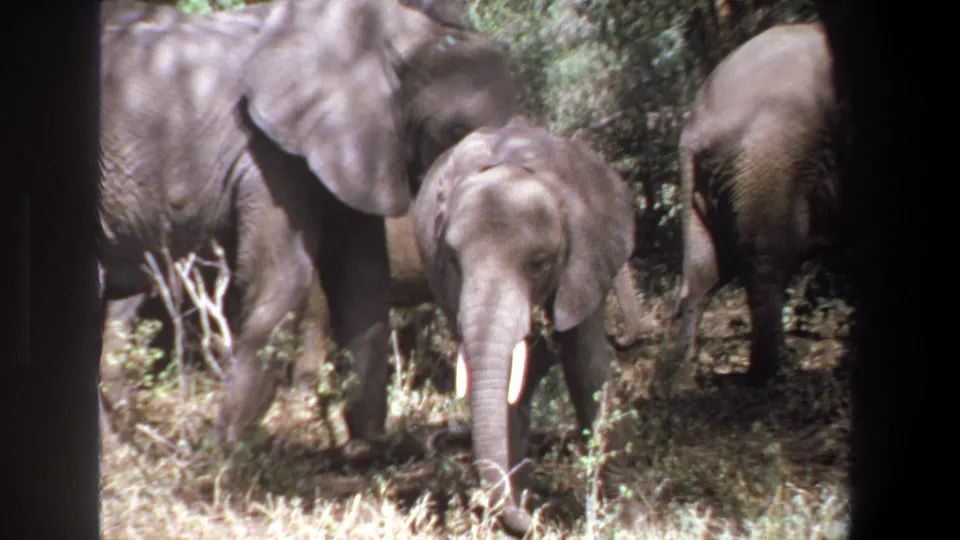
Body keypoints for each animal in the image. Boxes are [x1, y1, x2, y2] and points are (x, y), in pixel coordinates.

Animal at [98, 0, 524, 446]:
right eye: (456, 131)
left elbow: (361, 277)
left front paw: (366, 448)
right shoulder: (265, 152)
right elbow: (285, 277)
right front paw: (222, 451)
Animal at [412, 116, 641, 536]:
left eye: (539, 263)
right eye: (453, 260)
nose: (533, 521)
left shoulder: (586, 257)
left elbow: (586, 364)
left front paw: (629, 520)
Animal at [672, 22, 841, 386]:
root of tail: (691, 131)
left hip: (714, 184)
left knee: (705, 271)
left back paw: (678, 376)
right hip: (771, 158)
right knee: (769, 258)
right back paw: (778, 371)